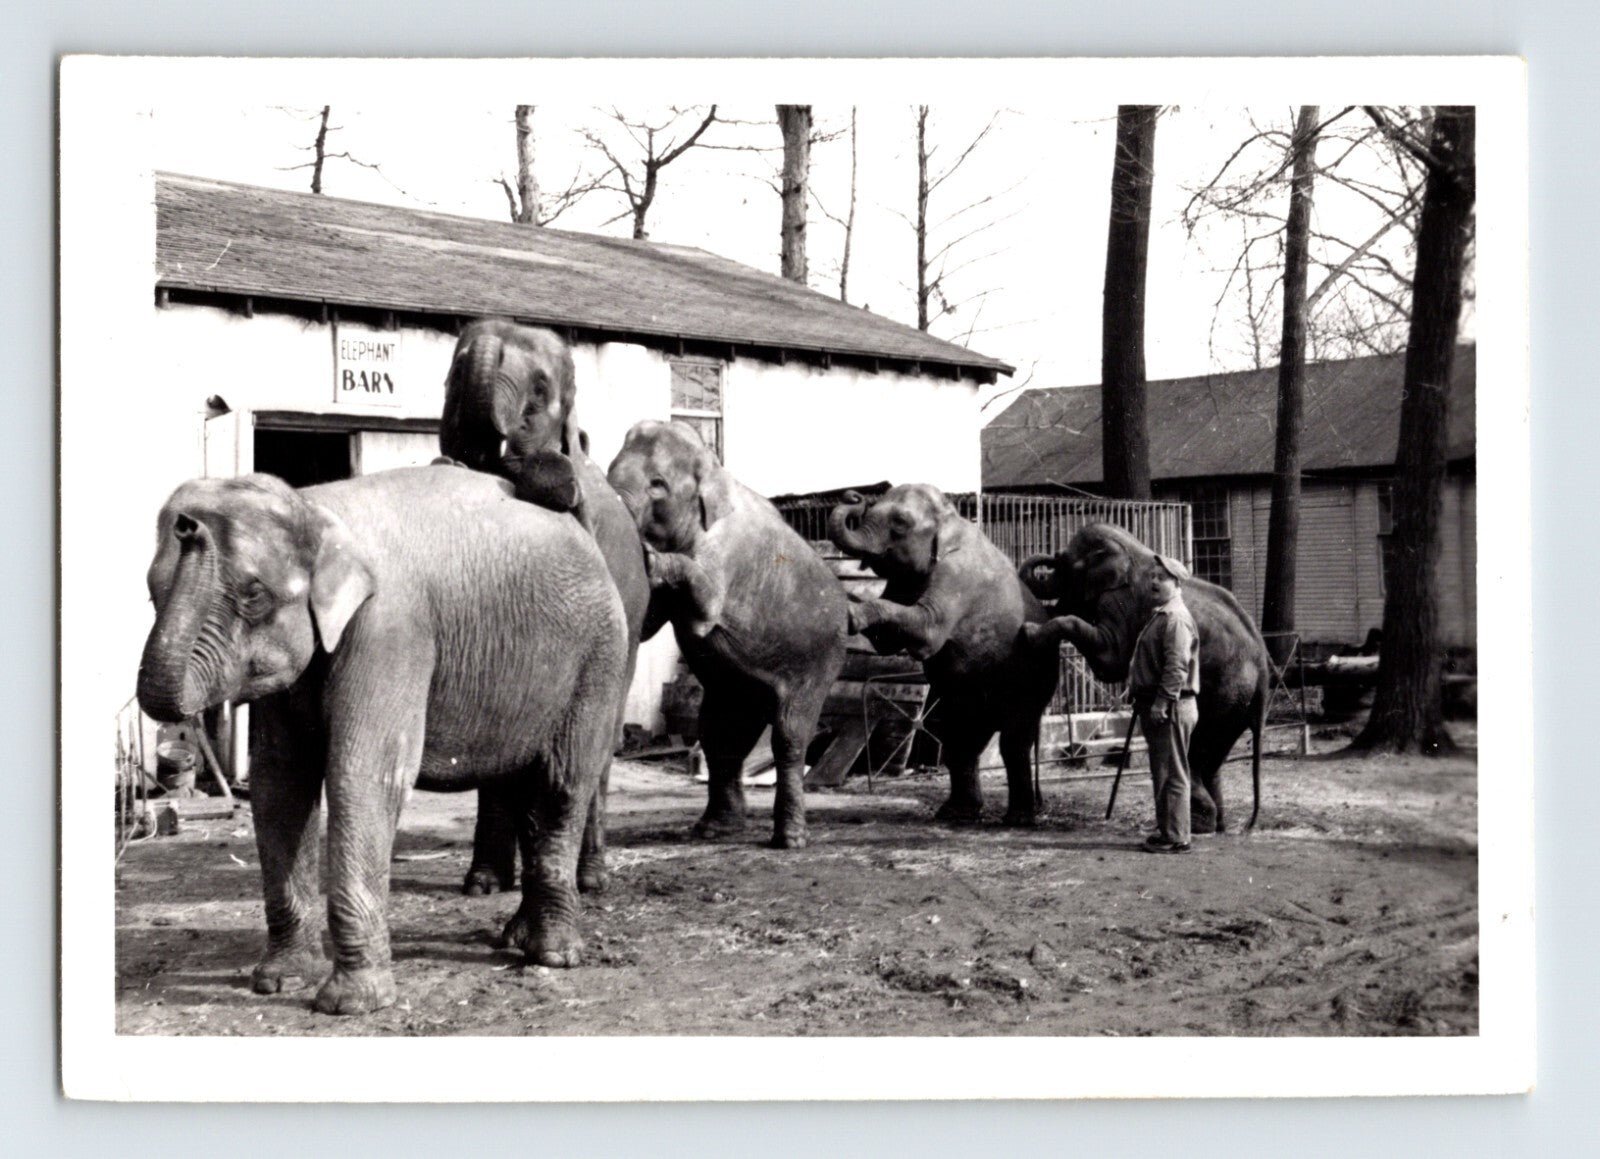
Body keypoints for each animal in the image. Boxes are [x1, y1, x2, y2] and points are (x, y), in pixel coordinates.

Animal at [136, 466, 630, 1014]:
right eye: (151, 593)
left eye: (253, 594)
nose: (188, 526)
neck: (316, 508)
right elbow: (279, 784)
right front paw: (280, 982)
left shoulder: (390, 630)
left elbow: (364, 774)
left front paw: (350, 1004)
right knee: (525, 784)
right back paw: (517, 938)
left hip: (598, 656)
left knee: (561, 781)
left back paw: (552, 955)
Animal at [606, 420, 848, 849]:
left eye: (658, 485)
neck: (714, 470)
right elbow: (650, 624)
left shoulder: (725, 554)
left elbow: (705, 607)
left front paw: (652, 558)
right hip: (739, 688)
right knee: (721, 735)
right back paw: (715, 829)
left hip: (819, 662)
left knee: (789, 736)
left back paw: (789, 839)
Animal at [828, 484, 1061, 825]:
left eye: (900, 522)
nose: (852, 495)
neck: (953, 518)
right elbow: (887, 643)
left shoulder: (957, 575)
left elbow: (927, 630)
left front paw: (851, 614)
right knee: (961, 739)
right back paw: (957, 813)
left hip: (1035, 680)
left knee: (1013, 742)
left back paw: (1018, 819)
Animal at [1018, 522, 1267, 833]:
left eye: (1063, 563)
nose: (1049, 554)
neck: (1129, 547)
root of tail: (1264, 671)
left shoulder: (1118, 601)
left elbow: (1109, 660)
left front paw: (1029, 632)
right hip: (1235, 707)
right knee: (1212, 759)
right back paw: (1216, 823)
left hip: (1222, 696)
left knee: (1194, 752)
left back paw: (1197, 824)